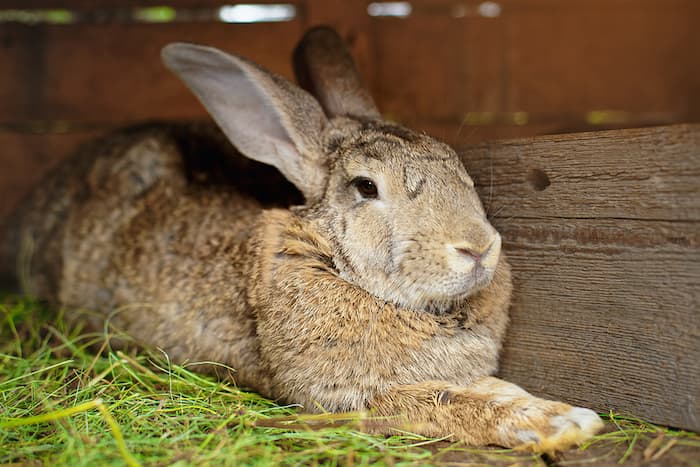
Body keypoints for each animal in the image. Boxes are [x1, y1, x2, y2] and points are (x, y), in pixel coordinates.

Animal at [2, 27, 600, 452]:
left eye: (459, 170)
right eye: (366, 187)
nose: (478, 247)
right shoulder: (340, 396)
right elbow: (442, 400)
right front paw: (560, 421)